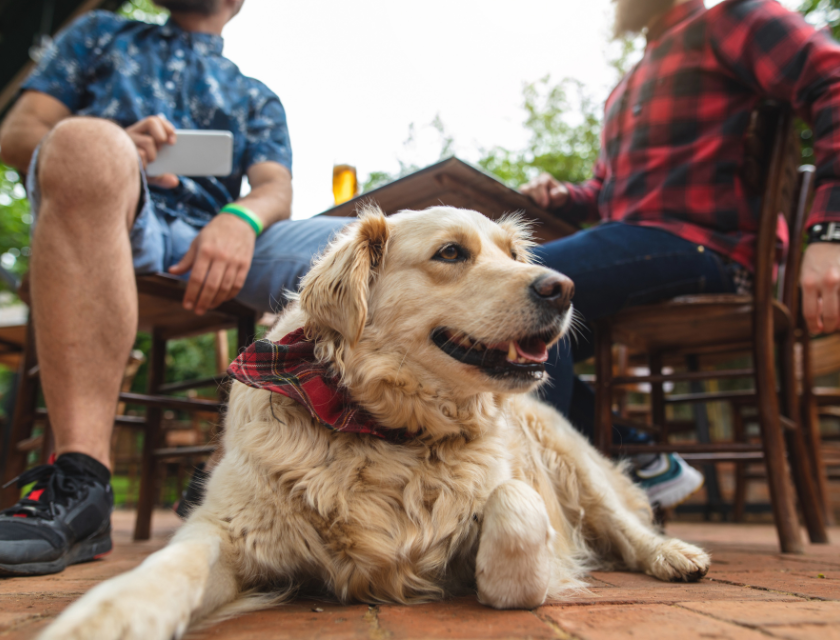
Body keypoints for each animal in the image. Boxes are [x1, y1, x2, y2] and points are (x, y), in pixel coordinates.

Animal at [41, 208, 708, 636]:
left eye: (513, 254)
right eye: (451, 253)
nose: (564, 288)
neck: (389, 432)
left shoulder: (518, 495)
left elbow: (515, 509)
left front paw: (512, 576)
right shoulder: (228, 528)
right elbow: (166, 568)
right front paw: (109, 619)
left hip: (573, 463)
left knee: (626, 525)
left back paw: (673, 554)